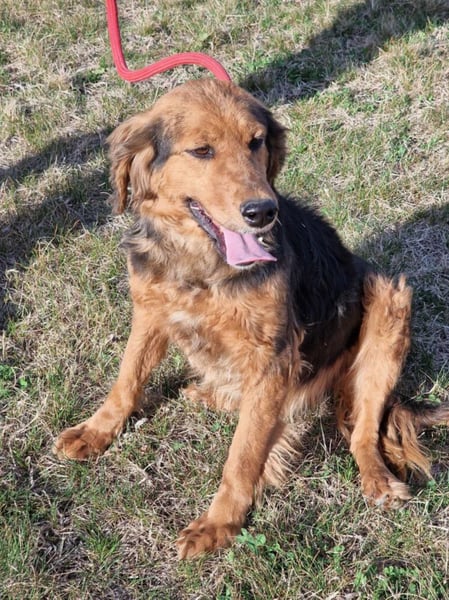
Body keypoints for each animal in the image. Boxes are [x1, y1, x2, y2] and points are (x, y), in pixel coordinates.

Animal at [54, 78, 449, 559]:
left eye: (255, 142)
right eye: (201, 150)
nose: (262, 212)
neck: (203, 266)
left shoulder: (273, 357)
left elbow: (243, 454)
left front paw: (218, 524)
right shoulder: (150, 313)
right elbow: (125, 382)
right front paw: (96, 432)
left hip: (389, 301)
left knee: (362, 431)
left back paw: (377, 479)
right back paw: (209, 394)